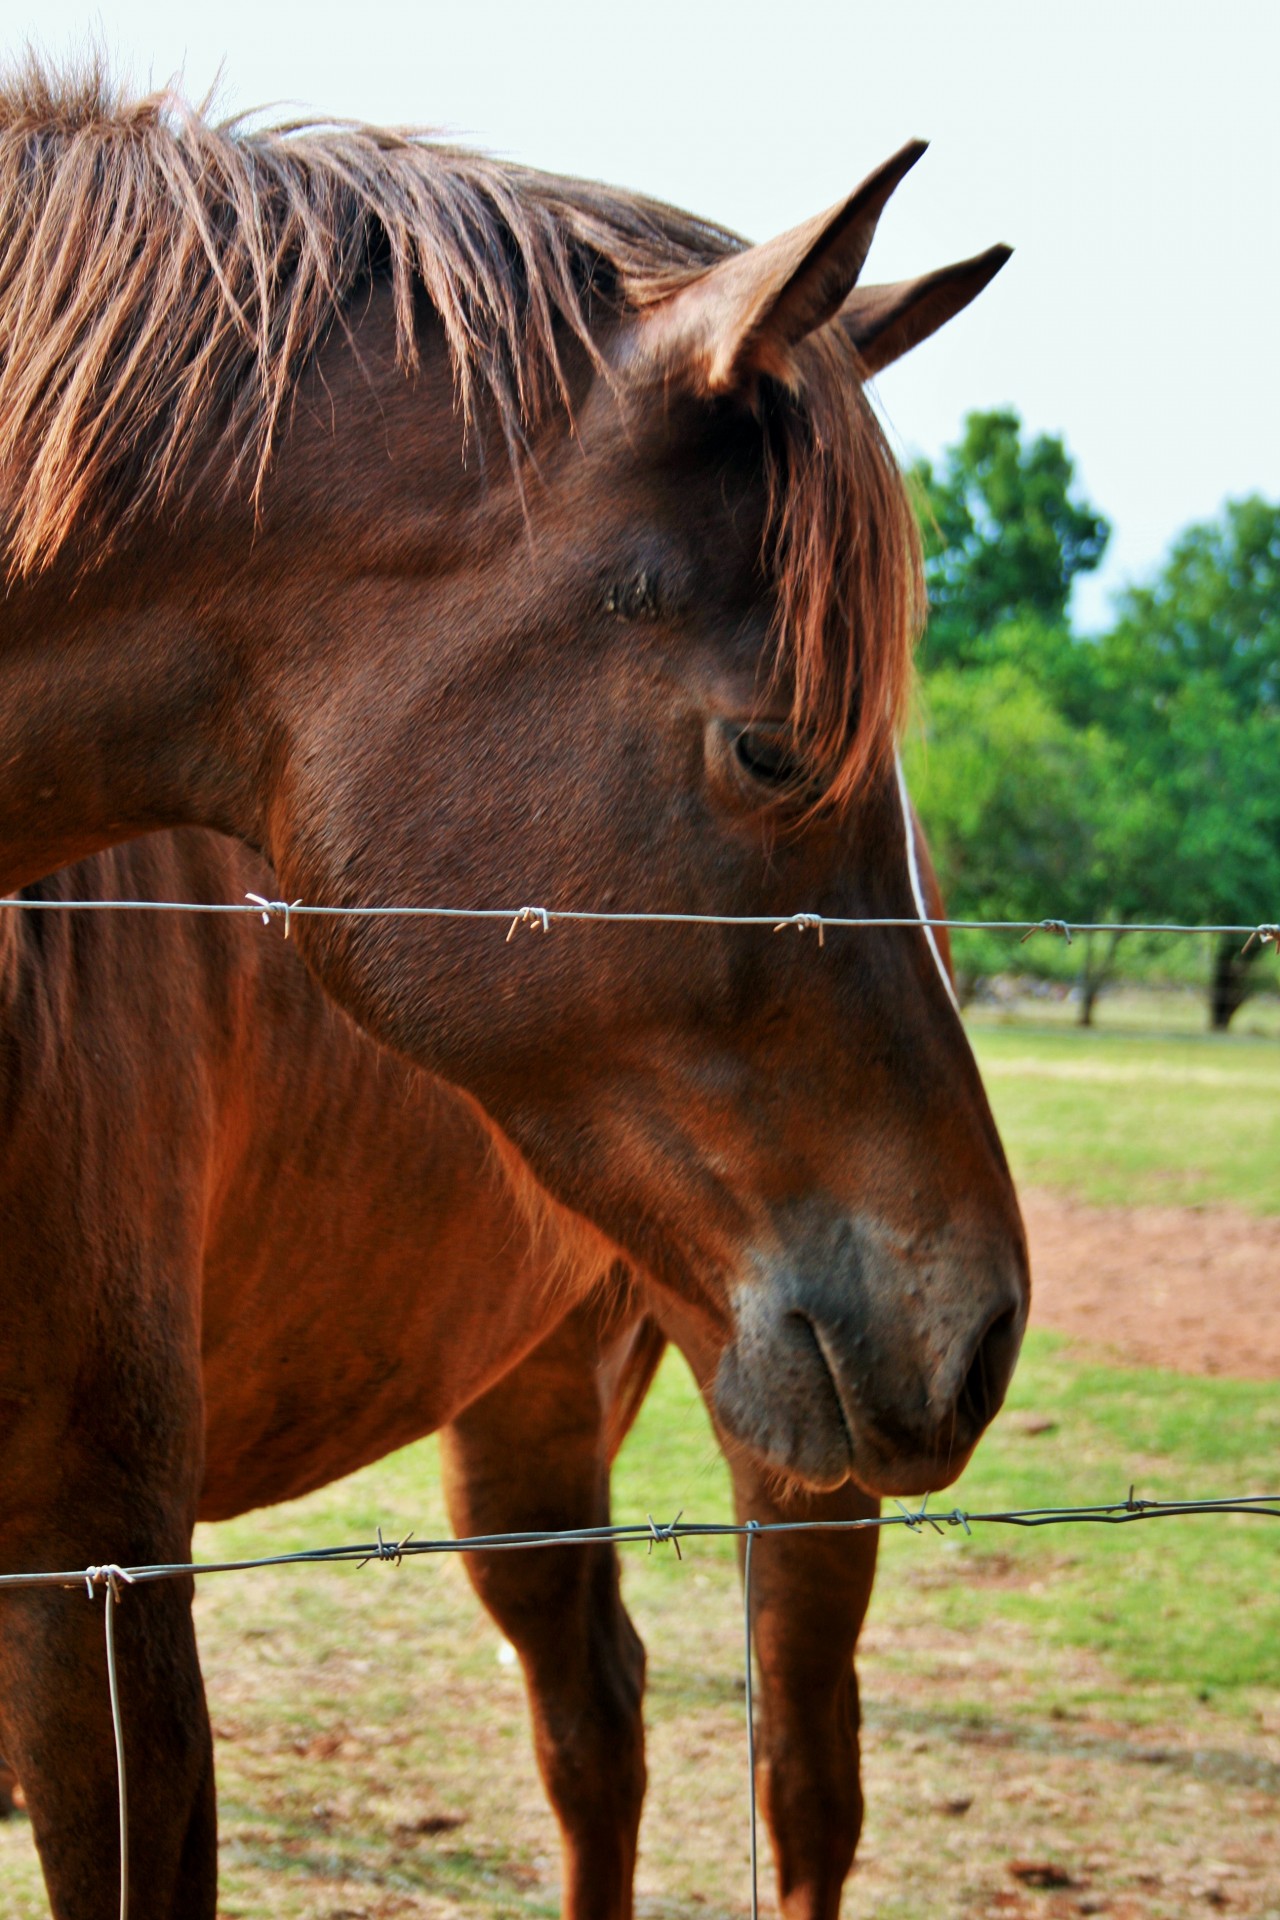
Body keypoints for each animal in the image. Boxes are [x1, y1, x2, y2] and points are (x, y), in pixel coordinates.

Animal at [0, 67, 1028, 1912]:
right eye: (778, 746)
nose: (983, 1328)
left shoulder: (97, 1583)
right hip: (533, 1409)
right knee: (593, 1721)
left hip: (787, 1458)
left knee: (800, 1784)